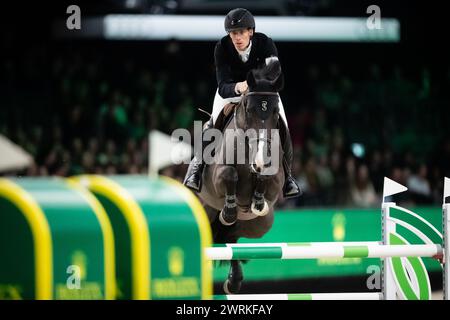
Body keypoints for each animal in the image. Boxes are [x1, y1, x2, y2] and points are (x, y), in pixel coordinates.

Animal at [198, 58, 284, 294]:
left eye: (275, 112)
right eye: (249, 108)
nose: (261, 160)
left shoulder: (276, 182)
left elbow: (267, 179)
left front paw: (257, 201)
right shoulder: (217, 177)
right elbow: (230, 175)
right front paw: (228, 211)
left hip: (260, 225)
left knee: (231, 238)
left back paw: (233, 280)